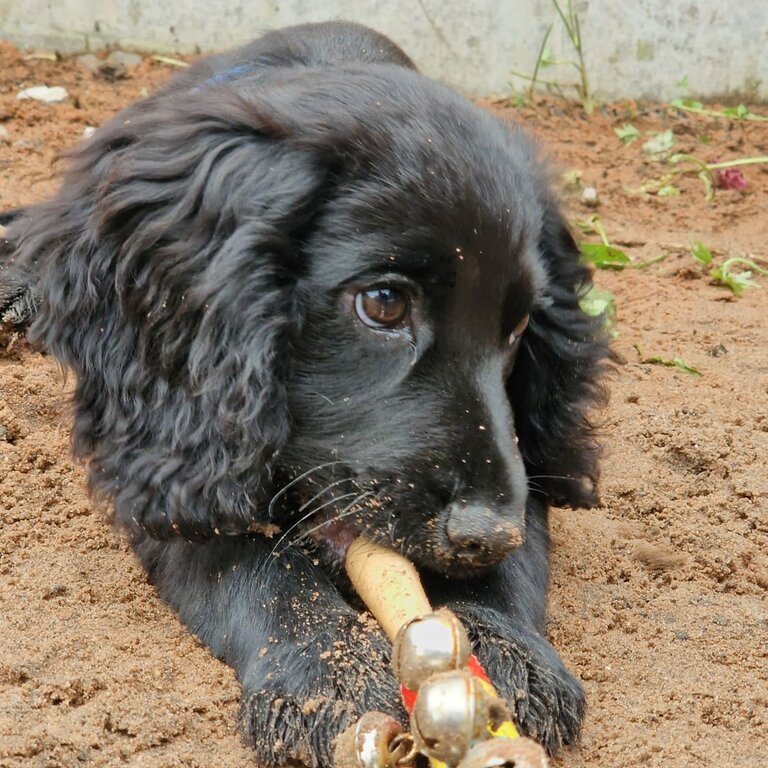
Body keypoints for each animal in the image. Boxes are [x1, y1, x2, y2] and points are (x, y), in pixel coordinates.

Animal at [1, 22, 608, 768]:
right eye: (383, 302)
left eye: (520, 326)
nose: (481, 533)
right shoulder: (173, 456)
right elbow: (260, 568)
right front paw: (330, 672)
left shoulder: (525, 460)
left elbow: (522, 541)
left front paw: (504, 645)